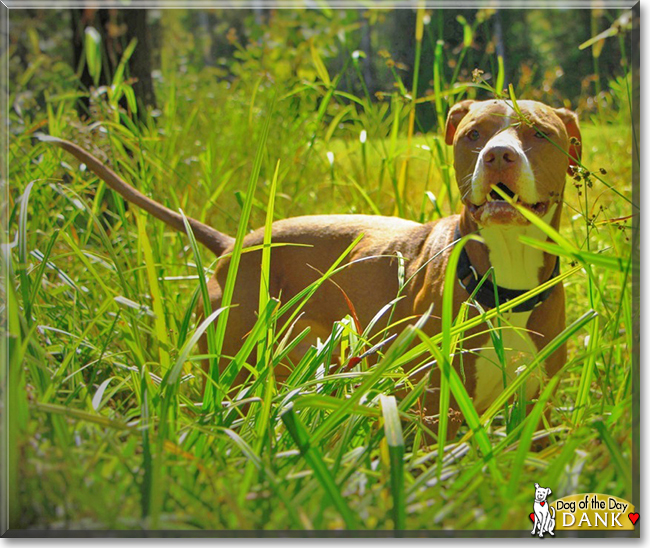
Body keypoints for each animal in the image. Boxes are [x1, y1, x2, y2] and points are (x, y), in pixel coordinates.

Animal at [43, 98, 580, 436]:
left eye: (540, 134)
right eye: (473, 135)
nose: (498, 155)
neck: (505, 282)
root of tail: (233, 243)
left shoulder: (538, 414)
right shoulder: (432, 410)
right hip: (231, 364)